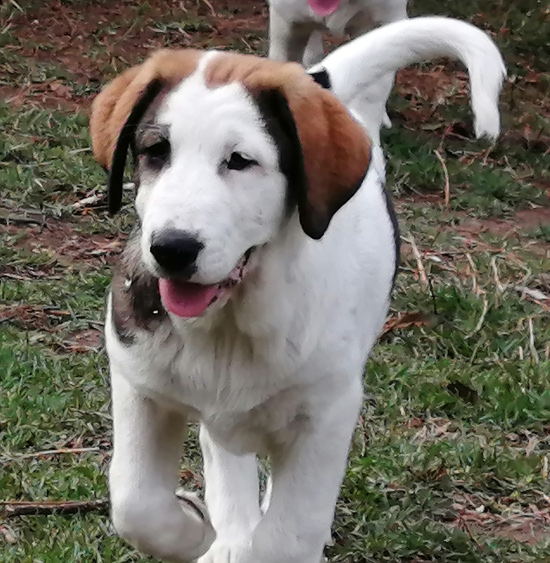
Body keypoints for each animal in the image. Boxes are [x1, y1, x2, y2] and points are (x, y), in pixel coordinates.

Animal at [91, 17, 508, 563]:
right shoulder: (139, 382)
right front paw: (197, 534)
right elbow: (136, 503)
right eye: (156, 152)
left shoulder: (326, 416)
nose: (172, 249)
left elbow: (286, 536)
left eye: (240, 161)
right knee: (224, 456)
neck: (233, 321)